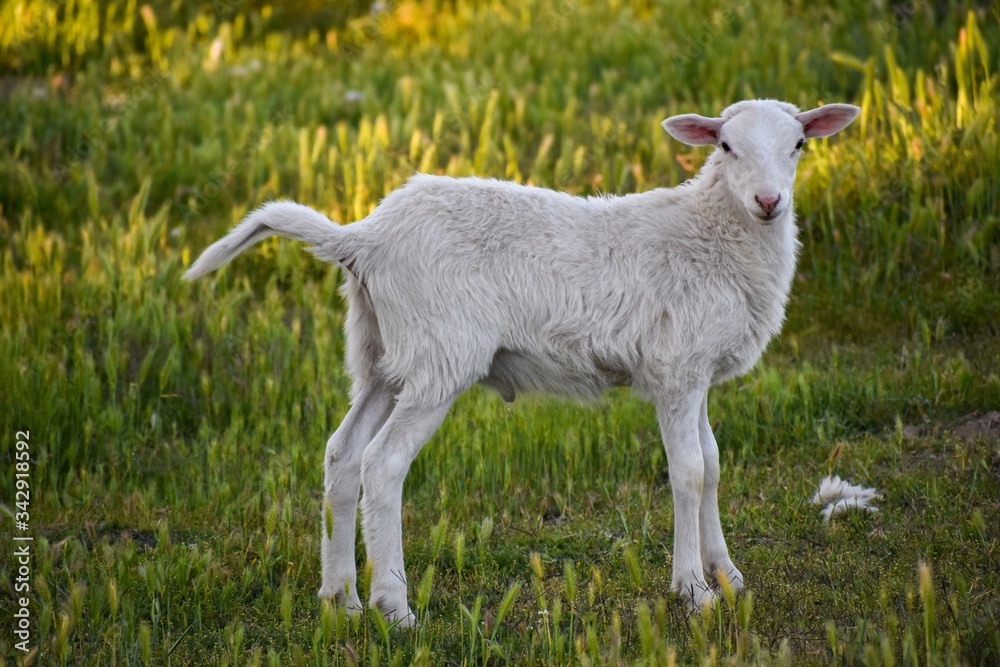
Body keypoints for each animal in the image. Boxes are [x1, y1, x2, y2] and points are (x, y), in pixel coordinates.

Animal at [185, 99, 860, 622]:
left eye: (799, 144)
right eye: (725, 144)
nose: (769, 201)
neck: (714, 236)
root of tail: (364, 237)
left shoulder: (695, 372)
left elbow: (714, 466)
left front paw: (728, 576)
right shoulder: (676, 370)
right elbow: (689, 473)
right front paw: (693, 591)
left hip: (381, 354)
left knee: (342, 455)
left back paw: (341, 600)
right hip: (439, 353)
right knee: (383, 465)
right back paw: (394, 608)